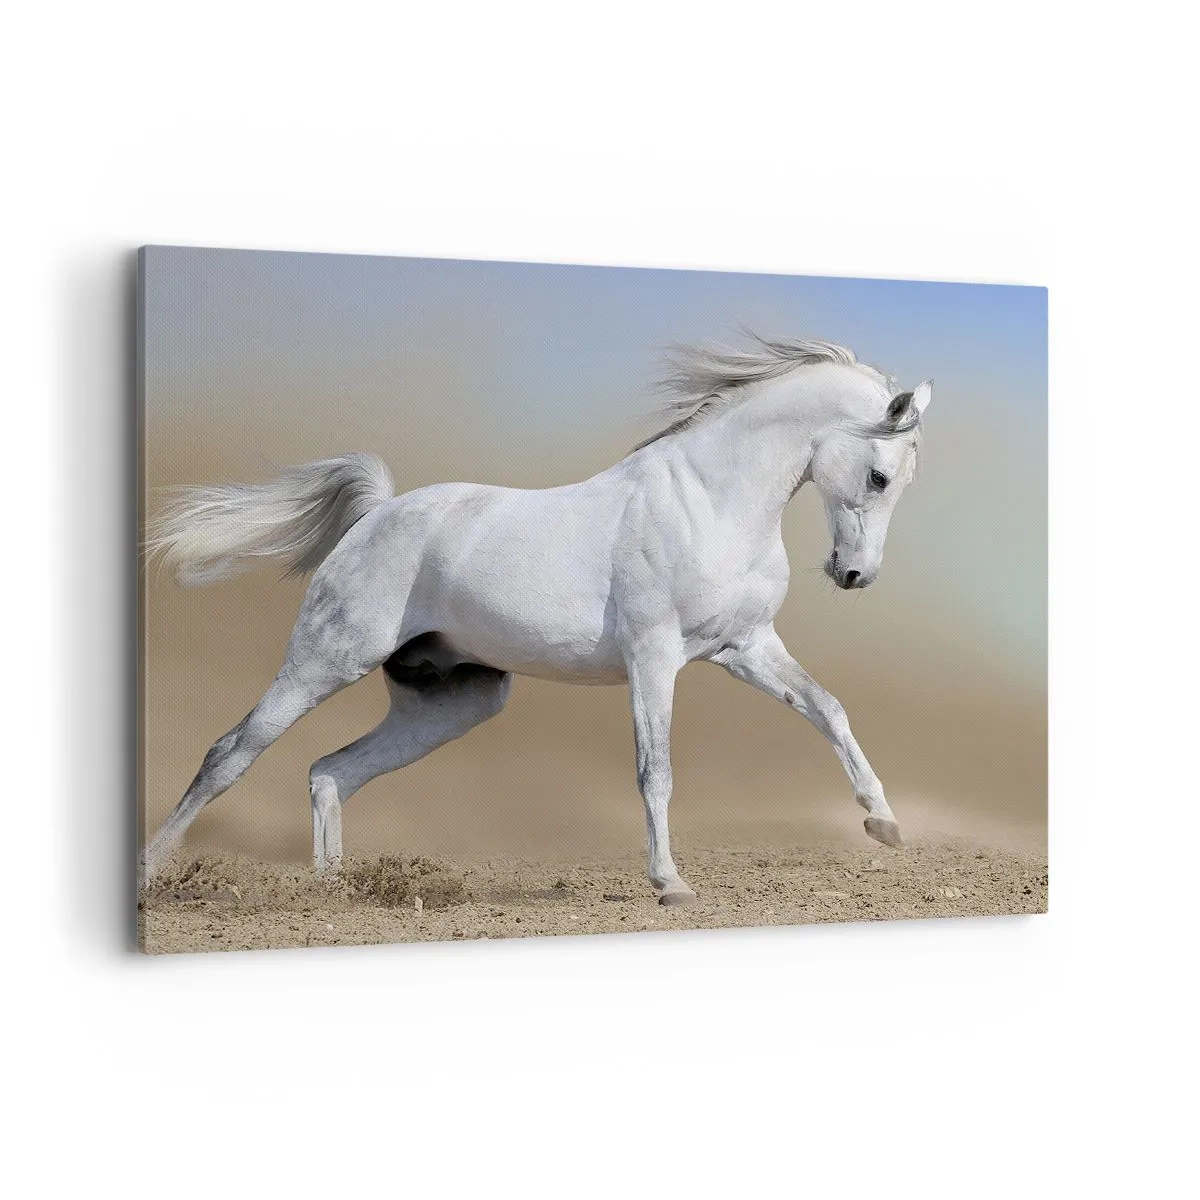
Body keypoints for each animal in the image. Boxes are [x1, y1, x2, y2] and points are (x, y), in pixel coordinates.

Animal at [143, 336, 933, 905]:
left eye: (901, 481)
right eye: (879, 476)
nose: (854, 575)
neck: (710, 501)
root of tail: (377, 514)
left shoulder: (746, 647)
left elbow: (828, 708)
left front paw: (884, 824)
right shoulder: (654, 658)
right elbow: (655, 770)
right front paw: (670, 885)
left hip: (454, 702)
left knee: (330, 771)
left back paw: (333, 890)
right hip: (324, 661)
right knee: (230, 753)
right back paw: (154, 871)